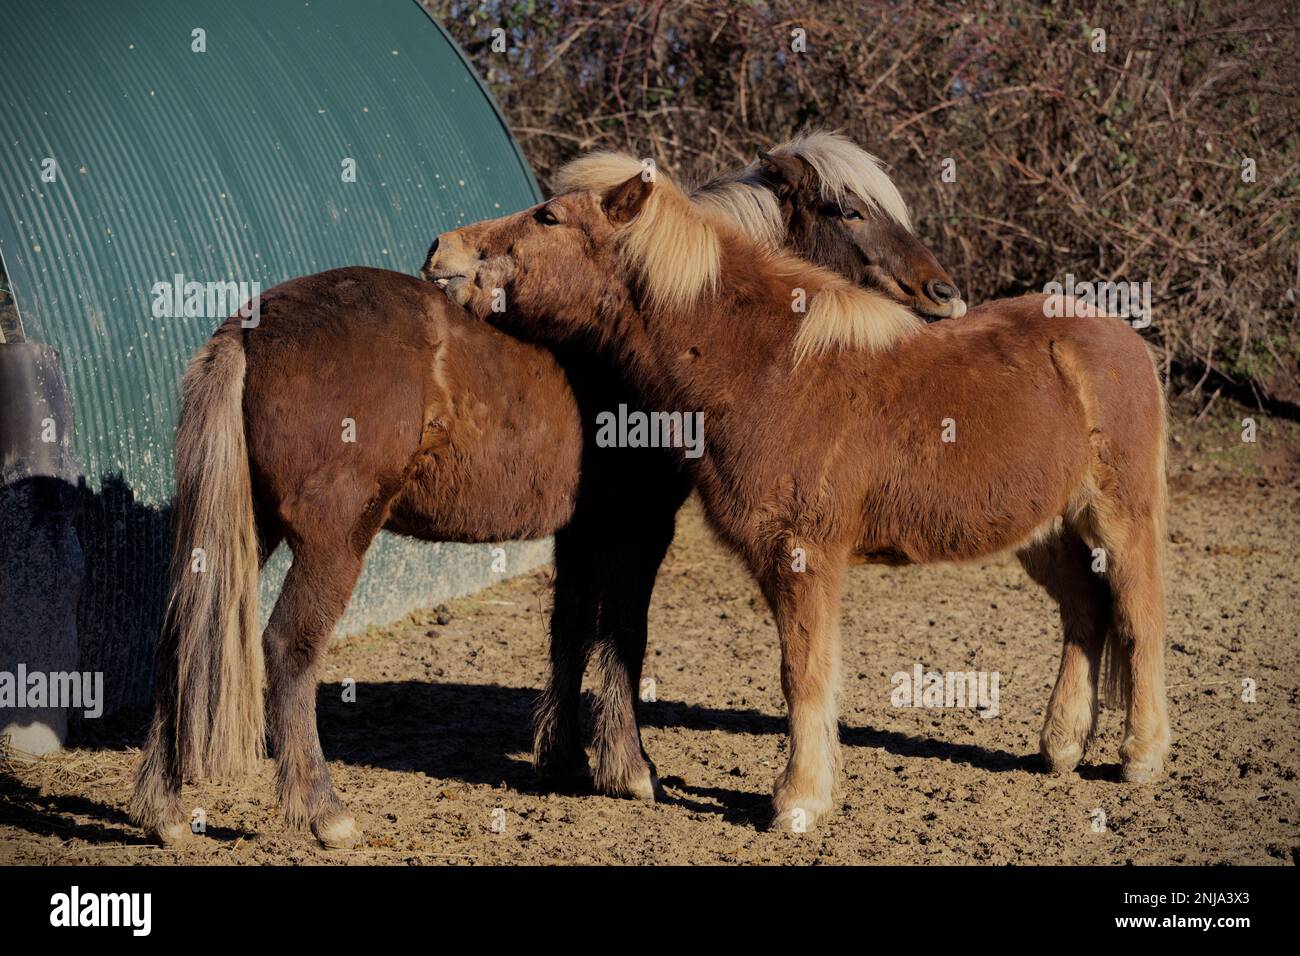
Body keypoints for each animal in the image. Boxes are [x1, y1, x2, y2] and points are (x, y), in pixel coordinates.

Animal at [428, 151, 1180, 832]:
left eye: (548, 218)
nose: (443, 253)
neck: (765, 367)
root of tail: (1120, 337)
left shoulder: (801, 555)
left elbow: (804, 673)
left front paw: (798, 802)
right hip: (1045, 532)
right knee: (1085, 614)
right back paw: (1060, 748)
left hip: (1118, 518)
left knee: (1139, 618)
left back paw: (1141, 759)